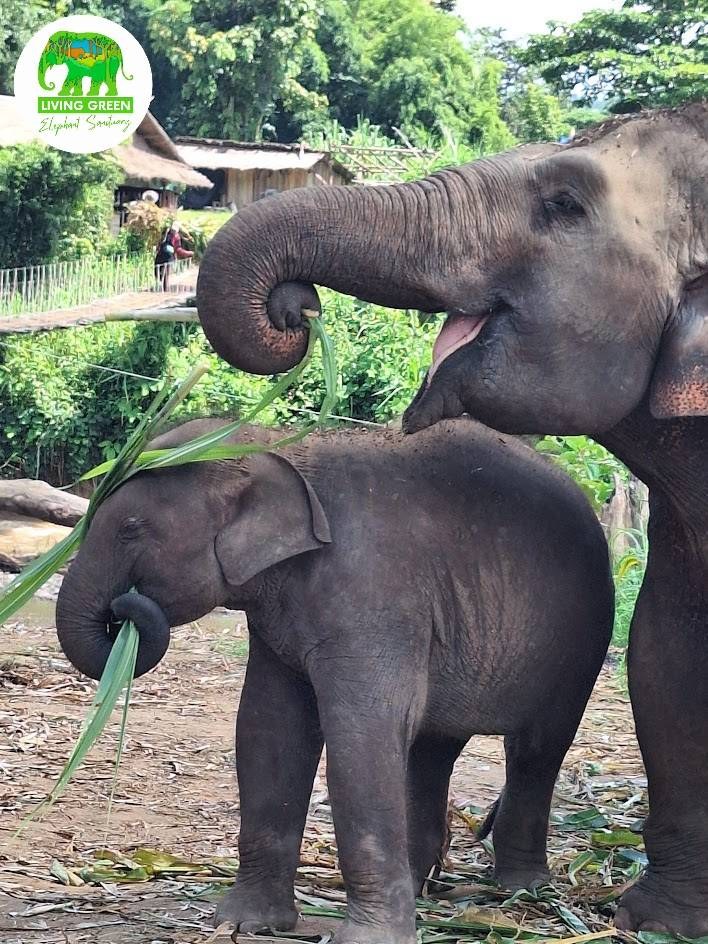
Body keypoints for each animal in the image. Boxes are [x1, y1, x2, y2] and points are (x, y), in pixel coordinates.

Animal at [55, 419, 613, 944]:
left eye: (130, 528)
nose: (124, 608)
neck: (278, 446)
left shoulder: (374, 595)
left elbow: (361, 734)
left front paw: (370, 938)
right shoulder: (280, 617)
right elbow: (269, 729)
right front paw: (247, 923)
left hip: (579, 645)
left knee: (537, 750)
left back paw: (521, 889)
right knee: (433, 752)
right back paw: (421, 886)